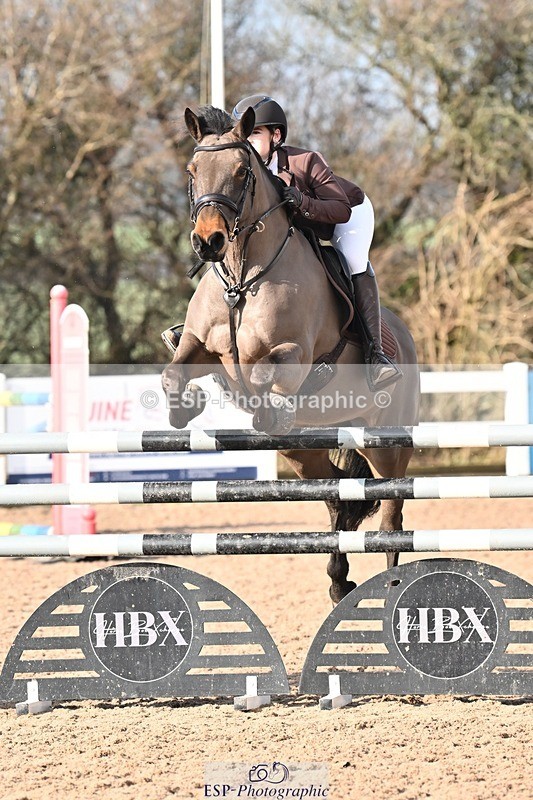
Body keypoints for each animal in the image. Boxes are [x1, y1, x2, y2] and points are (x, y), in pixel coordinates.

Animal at [162, 105, 419, 603]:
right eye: (191, 171)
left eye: (241, 172)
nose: (208, 242)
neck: (244, 276)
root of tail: (404, 333)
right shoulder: (199, 347)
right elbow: (172, 373)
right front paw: (187, 407)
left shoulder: (294, 352)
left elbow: (265, 374)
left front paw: (267, 407)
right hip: (303, 450)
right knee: (337, 495)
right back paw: (339, 582)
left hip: (387, 444)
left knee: (392, 516)